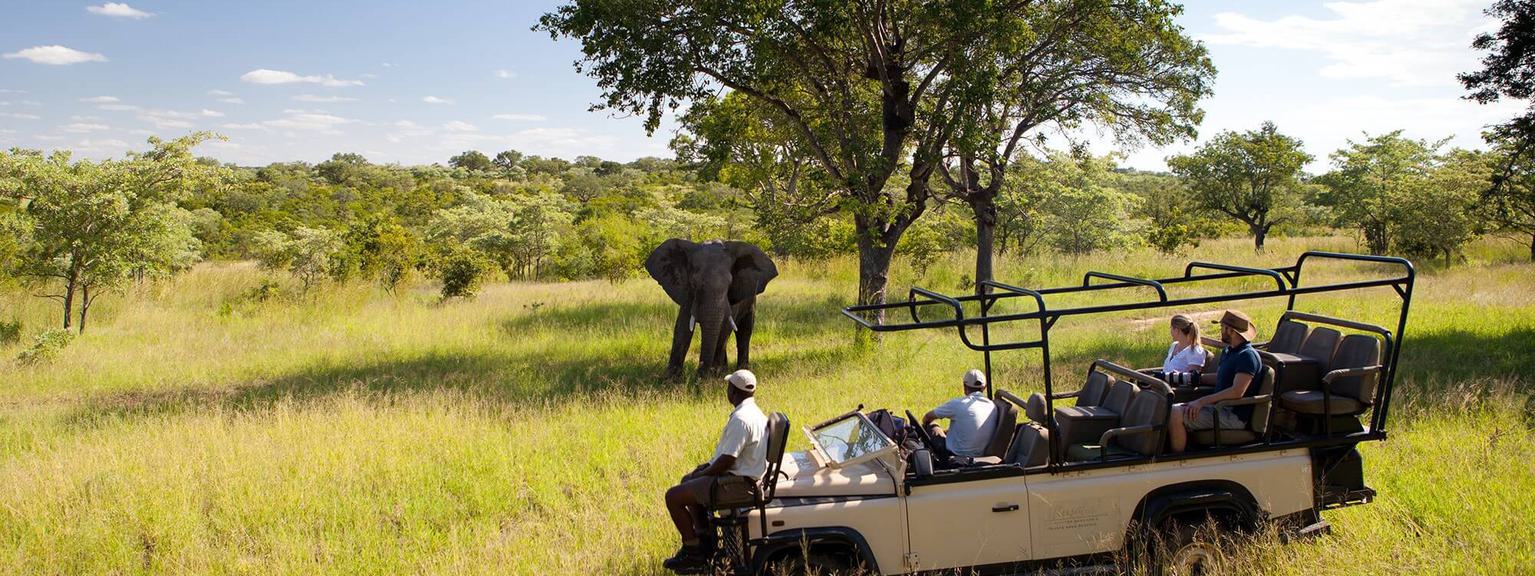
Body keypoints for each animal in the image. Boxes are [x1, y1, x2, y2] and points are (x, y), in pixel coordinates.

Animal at [645, 239, 778, 379]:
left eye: (730, 284)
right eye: (694, 283)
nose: (698, 374)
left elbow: (724, 328)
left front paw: (711, 377)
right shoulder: (688, 292)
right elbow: (682, 327)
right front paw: (671, 379)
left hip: (751, 301)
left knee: (744, 333)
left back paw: (739, 370)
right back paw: (724, 370)